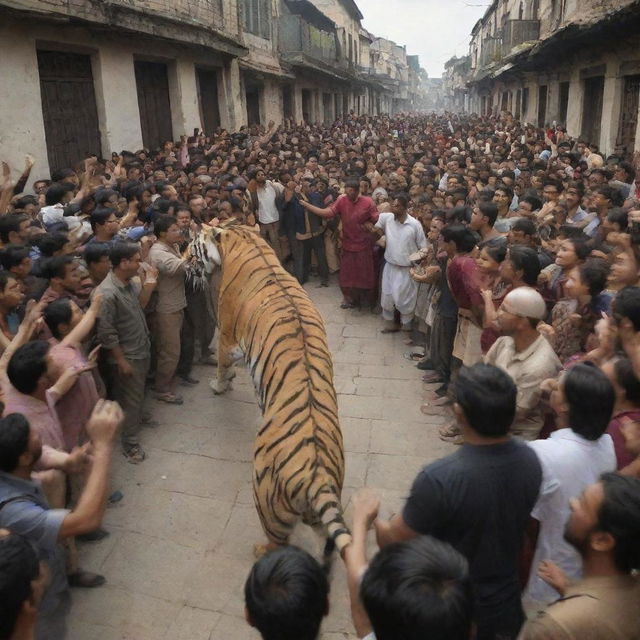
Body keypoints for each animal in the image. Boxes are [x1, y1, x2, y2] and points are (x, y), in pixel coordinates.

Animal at [198, 219, 352, 556]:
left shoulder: (227, 334)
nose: (184, 256)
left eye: (193, 243)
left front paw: (218, 385)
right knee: (323, 535)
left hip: (264, 494)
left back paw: (261, 551)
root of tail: (318, 474)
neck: (244, 239)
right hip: (320, 505)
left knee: (277, 540)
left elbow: (222, 366)